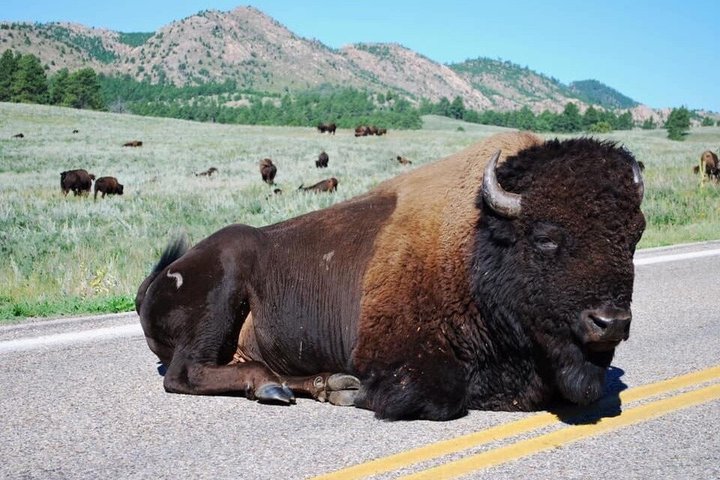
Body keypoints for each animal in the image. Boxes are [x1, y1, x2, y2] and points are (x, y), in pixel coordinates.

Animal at [136, 132, 645, 421]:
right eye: (545, 237)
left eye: (635, 234)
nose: (610, 322)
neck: (476, 241)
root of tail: (158, 281)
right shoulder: (401, 357)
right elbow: (438, 397)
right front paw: (363, 392)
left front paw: (348, 389)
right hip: (225, 283)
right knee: (184, 373)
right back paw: (280, 386)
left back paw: (325, 385)